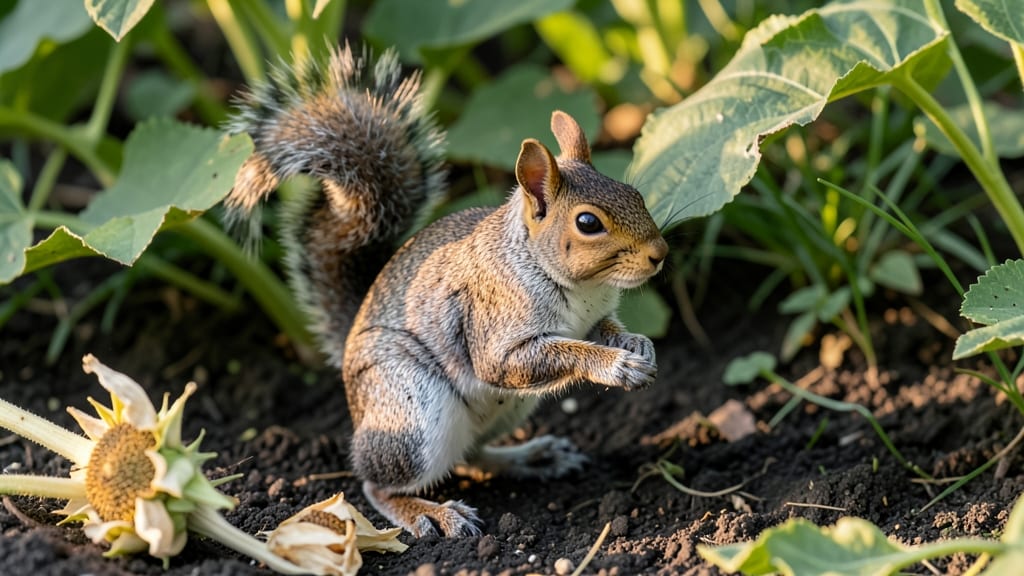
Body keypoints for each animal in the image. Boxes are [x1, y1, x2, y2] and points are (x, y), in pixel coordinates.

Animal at [225, 44, 669, 538]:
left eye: (634, 192)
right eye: (588, 222)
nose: (660, 253)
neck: (580, 286)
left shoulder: (595, 316)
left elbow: (606, 330)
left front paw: (636, 345)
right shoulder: (493, 324)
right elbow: (525, 359)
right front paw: (615, 366)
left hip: (508, 411)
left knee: (473, 455)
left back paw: (533, 457)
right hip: (413, 414)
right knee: (378, 485)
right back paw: (432, 513)